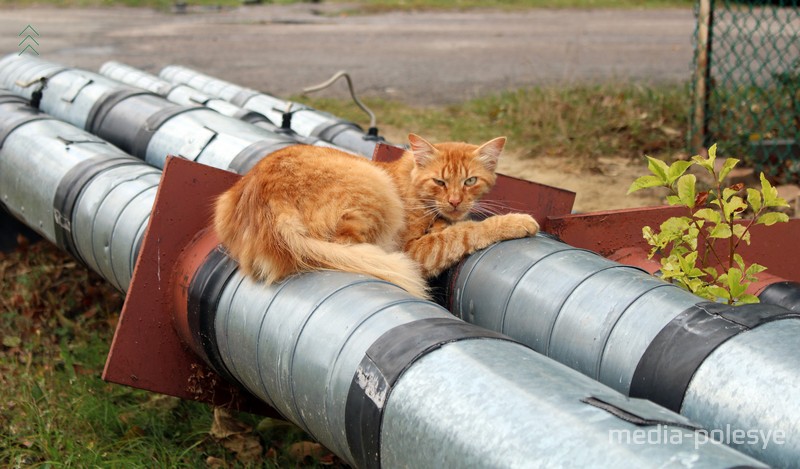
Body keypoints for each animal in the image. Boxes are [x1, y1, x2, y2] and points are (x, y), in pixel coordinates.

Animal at [214, 133, 536, 298]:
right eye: (440, 182)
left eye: (470, 181)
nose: (455, 202)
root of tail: (265, 200)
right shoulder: (416, 249)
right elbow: (465, 232)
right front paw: (517, 221)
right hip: (373, 191)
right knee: (348, 248)